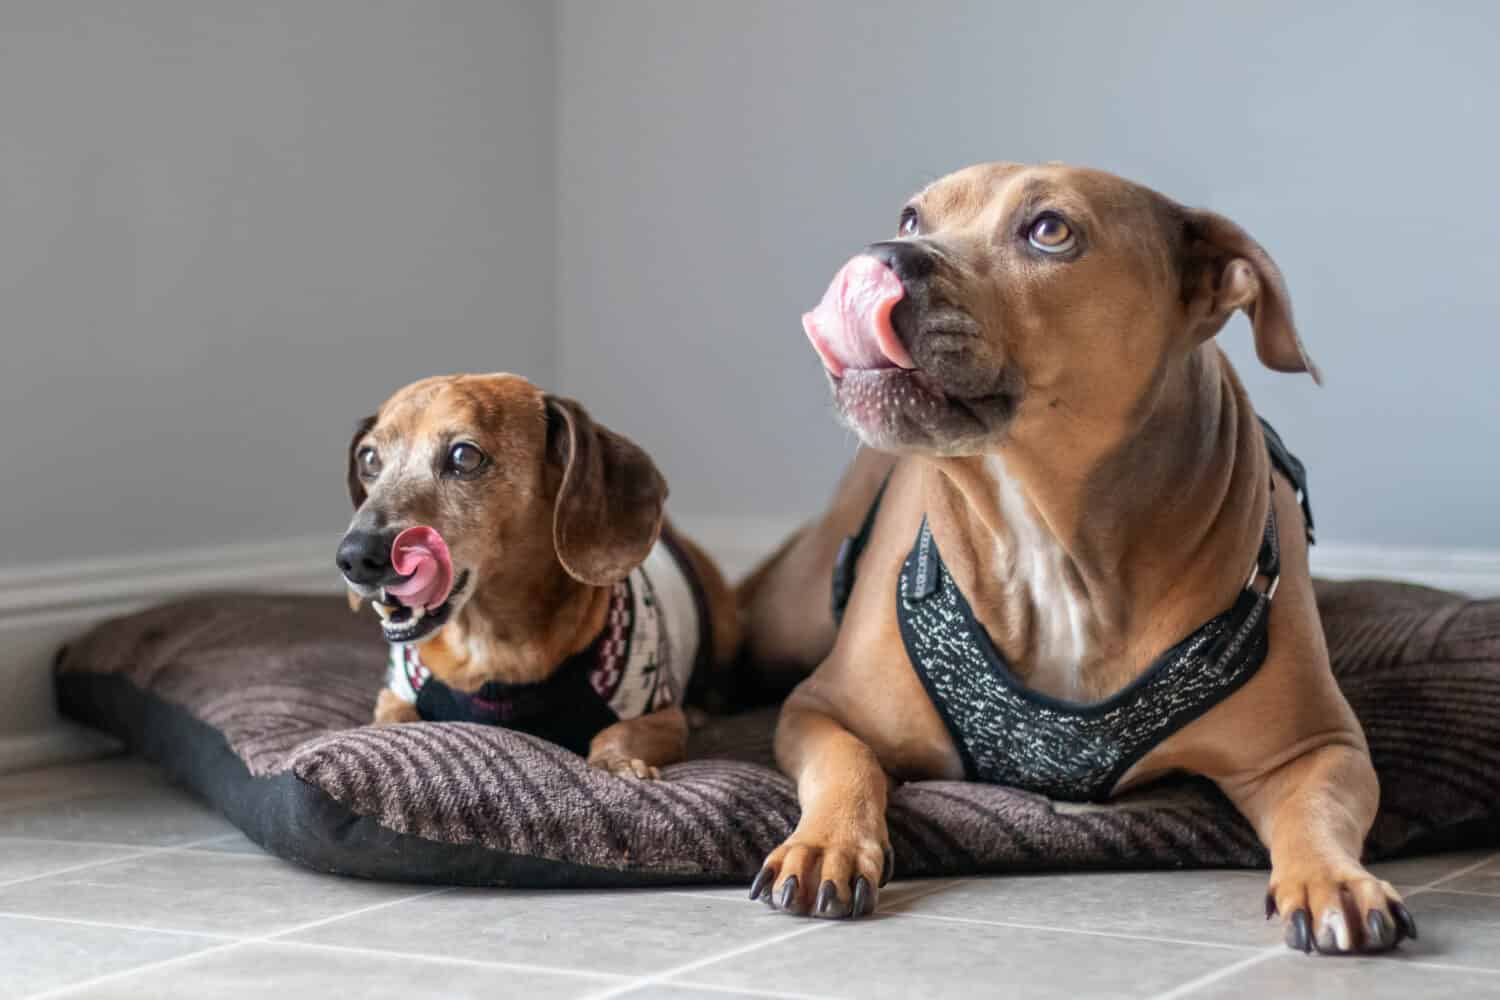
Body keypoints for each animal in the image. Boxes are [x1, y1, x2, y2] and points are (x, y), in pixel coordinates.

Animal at [337, 371, 741, 779]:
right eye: (368, 458)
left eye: (464, 456)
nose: (354, 557)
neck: (489, 648)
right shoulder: (394, 694)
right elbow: (393, 720)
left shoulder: (661, 716)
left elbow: (619, 732)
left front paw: (618, 763)